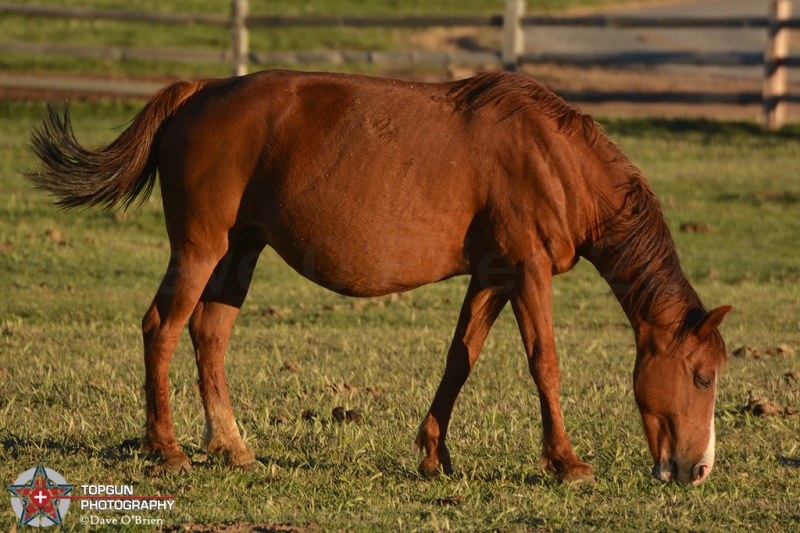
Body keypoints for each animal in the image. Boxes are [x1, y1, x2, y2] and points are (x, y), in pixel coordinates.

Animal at [29, 69, 732, 482]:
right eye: (701, 376)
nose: (697, 469)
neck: (553, 158)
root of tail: (198, 93)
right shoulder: (528, 271)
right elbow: (545, 364)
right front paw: (565, 462)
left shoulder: (493, 276)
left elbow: (460, 360)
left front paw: (434, 452)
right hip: (199, 249)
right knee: (162, 327)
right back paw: (166, 447)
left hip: (238, 253)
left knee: (209, 335)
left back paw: (231, 445)